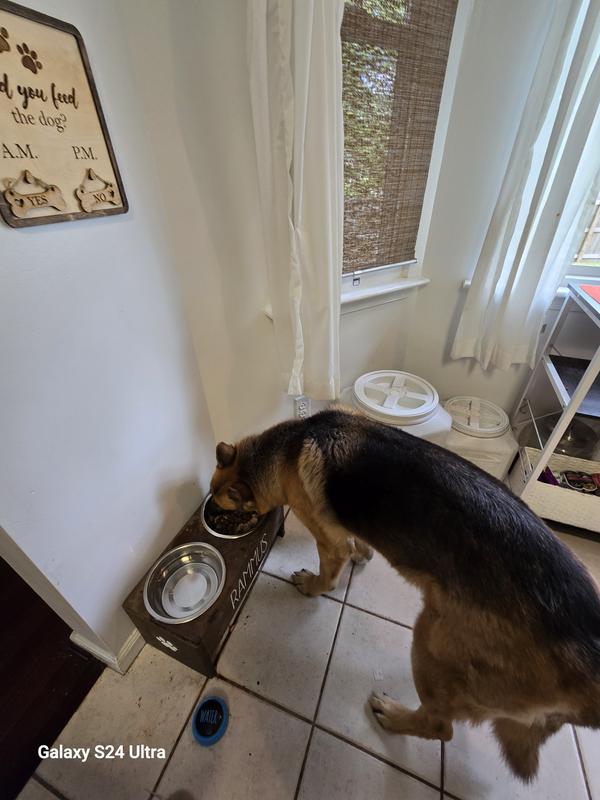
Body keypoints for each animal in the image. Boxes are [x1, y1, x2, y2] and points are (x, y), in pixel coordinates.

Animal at [209, 407, 600, 781]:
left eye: (219, 508)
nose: (210, 516)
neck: (286, 446)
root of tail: (588, 656)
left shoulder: (327, 541)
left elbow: (329, 573)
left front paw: (314, 585)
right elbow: (356, 542)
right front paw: (362, 553)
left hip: (431, 640)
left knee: (440, 727)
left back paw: (394, 716)